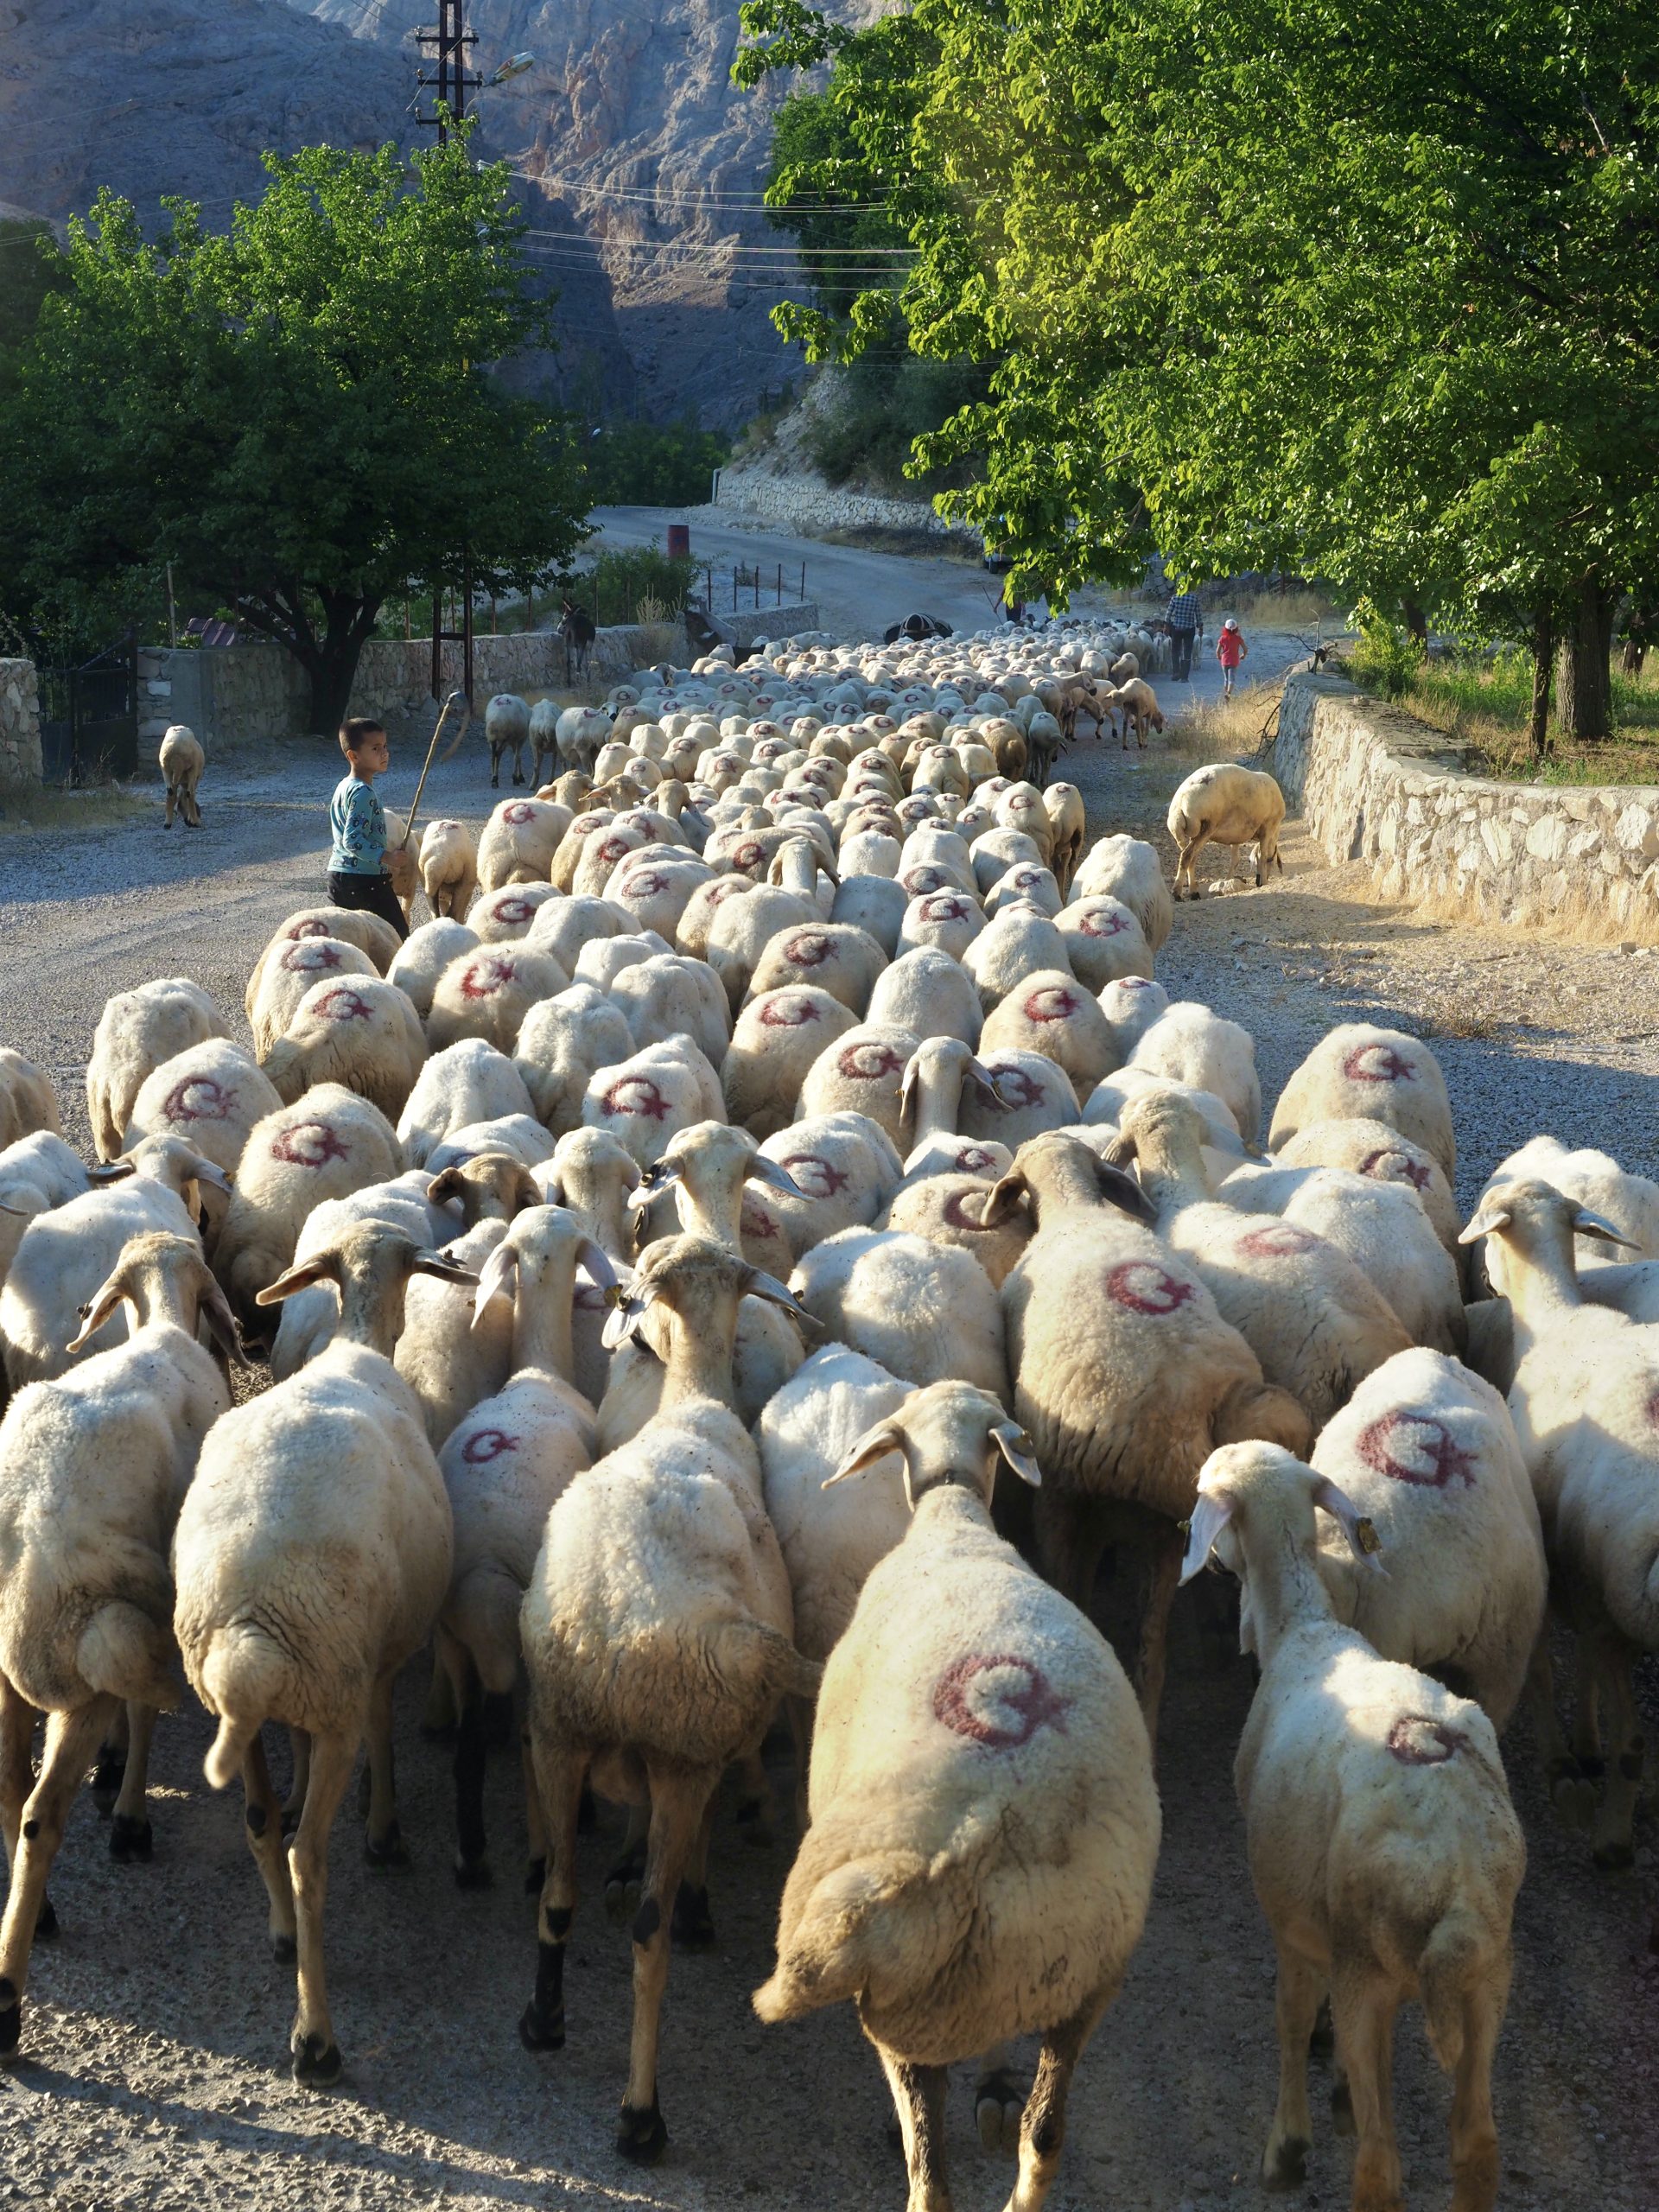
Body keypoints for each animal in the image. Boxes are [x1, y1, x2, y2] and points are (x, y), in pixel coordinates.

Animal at [0, 1230, 238, 2052]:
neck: (162, 1321)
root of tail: (34, 1574)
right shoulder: (158, 1606)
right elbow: (144, 1716)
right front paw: (131, 1814)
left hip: (12, 1676)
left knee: (10, 1794)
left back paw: (37, 1917)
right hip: (90, 1664)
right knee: (41, 1815)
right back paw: (8, 1995)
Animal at [173, 1221, 468, 2079]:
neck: (357, 1344)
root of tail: (248, 1631)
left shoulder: (311, 1691)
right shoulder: (374, 1665)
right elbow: (385, 1734)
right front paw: (386, 1830)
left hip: (251, 1682)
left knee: (259, 1819)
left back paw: (279, 1933)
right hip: (331, 1678)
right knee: (309, 1857)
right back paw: (317, 2038)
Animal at [765, 1380, 1159, 2212]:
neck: (951, 1514)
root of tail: (982, 1827)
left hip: (900, 2007)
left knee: (929, 2174)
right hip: (1087, 1977)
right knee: (1044, 2135)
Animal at [1185, 1442, 1530, 2212]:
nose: (1214, 1564)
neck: (1305, 1628)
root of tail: (1457, 1872)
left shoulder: (1292, 1923)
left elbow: (1289, 2017)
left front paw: (1288, 2146)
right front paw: (1340, 2090)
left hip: (1366, 1966)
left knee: (1379, 2164)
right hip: (1486, 1970)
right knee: (1478, 2141)